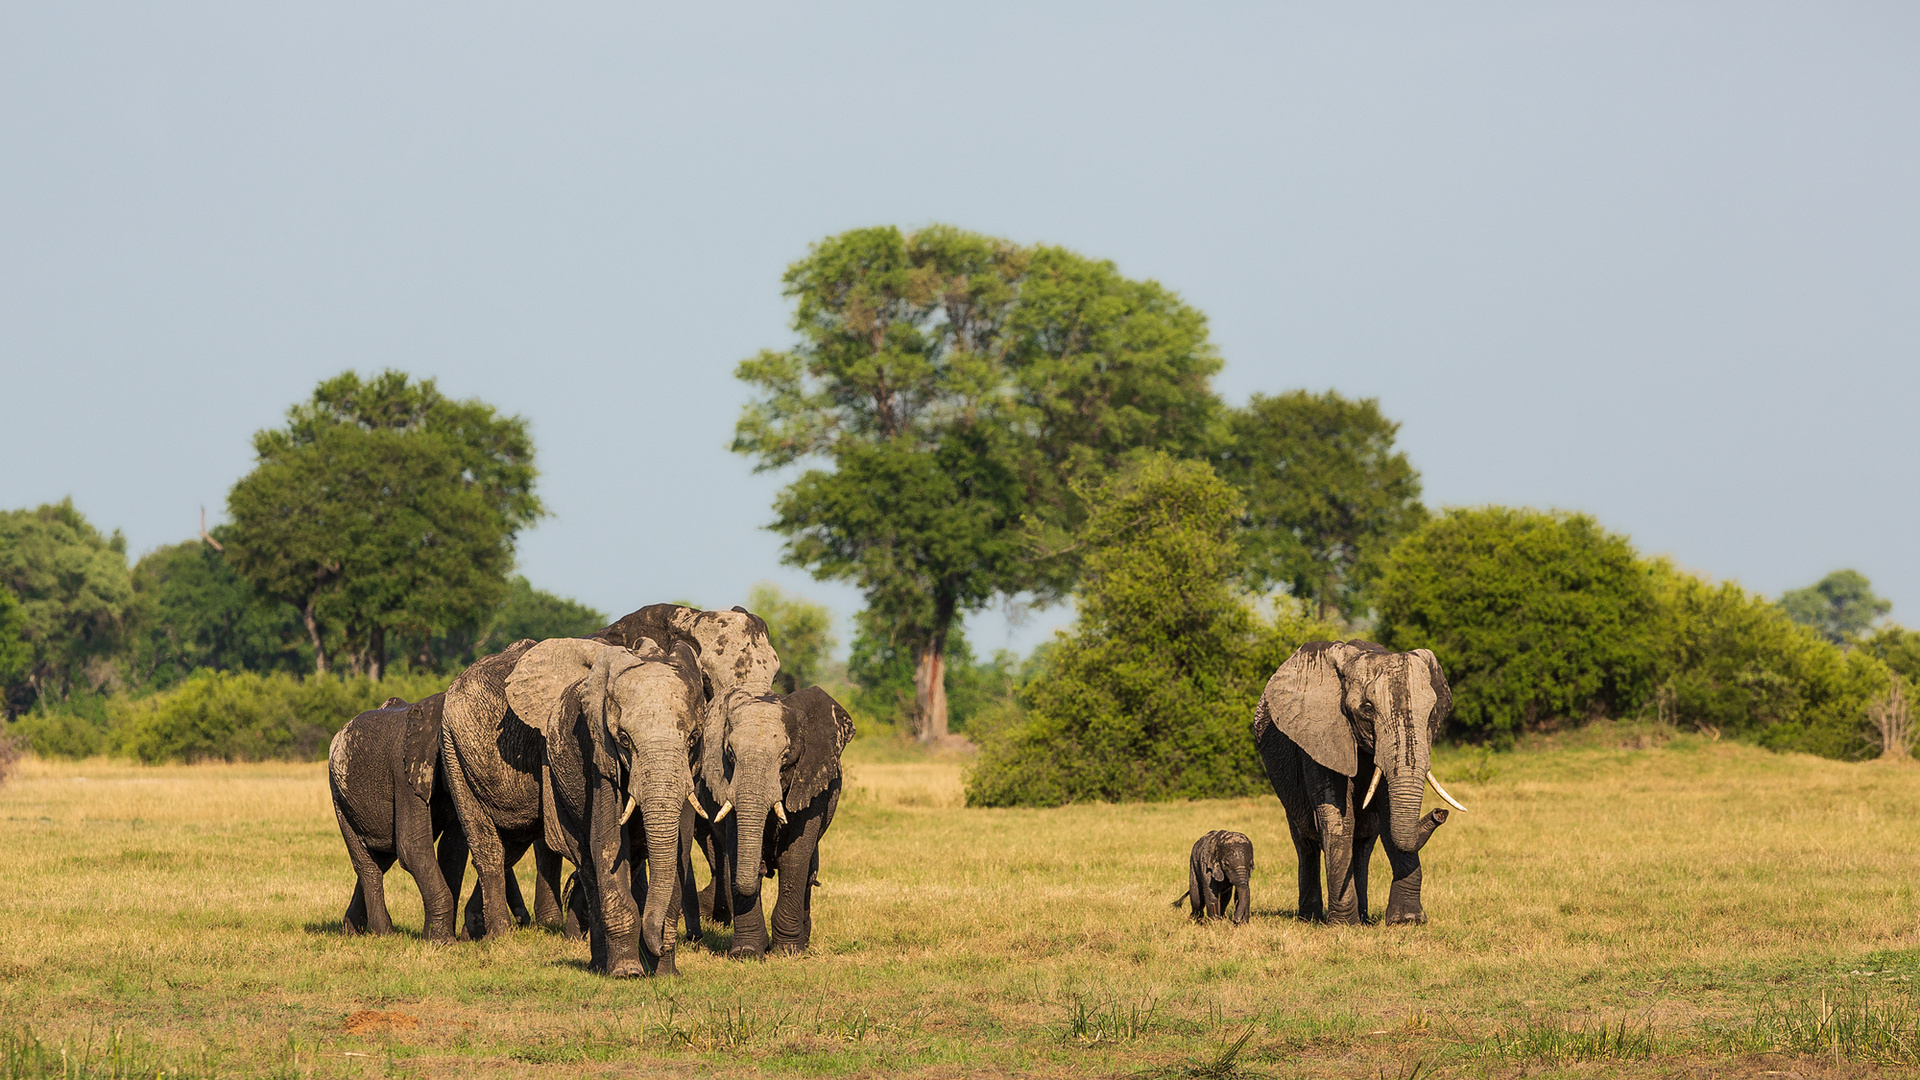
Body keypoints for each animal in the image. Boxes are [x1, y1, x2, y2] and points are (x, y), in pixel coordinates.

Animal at [503, 630, 706, 976]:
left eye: (693, 738)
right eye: (623, 739)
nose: (658, 947)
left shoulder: (690, 768)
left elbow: (680, 848)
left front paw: (666, 974)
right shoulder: (597, 751)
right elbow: (608, 841)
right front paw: (628, 973)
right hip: (558, 789)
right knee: (588, 864)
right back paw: (602, 966)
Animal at [710, 684, 852, 953]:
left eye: (786, 756)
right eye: (730, 753)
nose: (763, 867)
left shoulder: (812, 780)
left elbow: (795, 855)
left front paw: (788, 951)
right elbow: (735, 849)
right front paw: (746, 952)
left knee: (810, 871)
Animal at [1251, 634, 1459, 922]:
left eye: (1431, 713)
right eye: (1367, 709)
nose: (1440, 813)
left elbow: (1389, 815)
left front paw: (1406, 921)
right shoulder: (1320, 735)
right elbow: (1338, 819)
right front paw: (1343, 925)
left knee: (1363, 846)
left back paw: (1362, 917)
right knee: (1305, 843)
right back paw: (1311, 918)